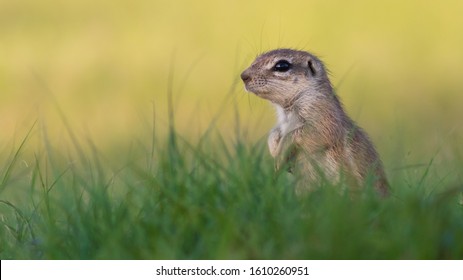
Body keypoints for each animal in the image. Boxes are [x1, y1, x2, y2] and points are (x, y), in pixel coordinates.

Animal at [241, 48, 390, 197]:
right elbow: (274, 133)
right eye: (256, 59)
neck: (287, 112)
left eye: (282, 66)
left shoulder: (323, 119)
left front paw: (279, 157)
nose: (243, 76)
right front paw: (274, 150)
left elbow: (304, 134)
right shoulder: (282, 125)